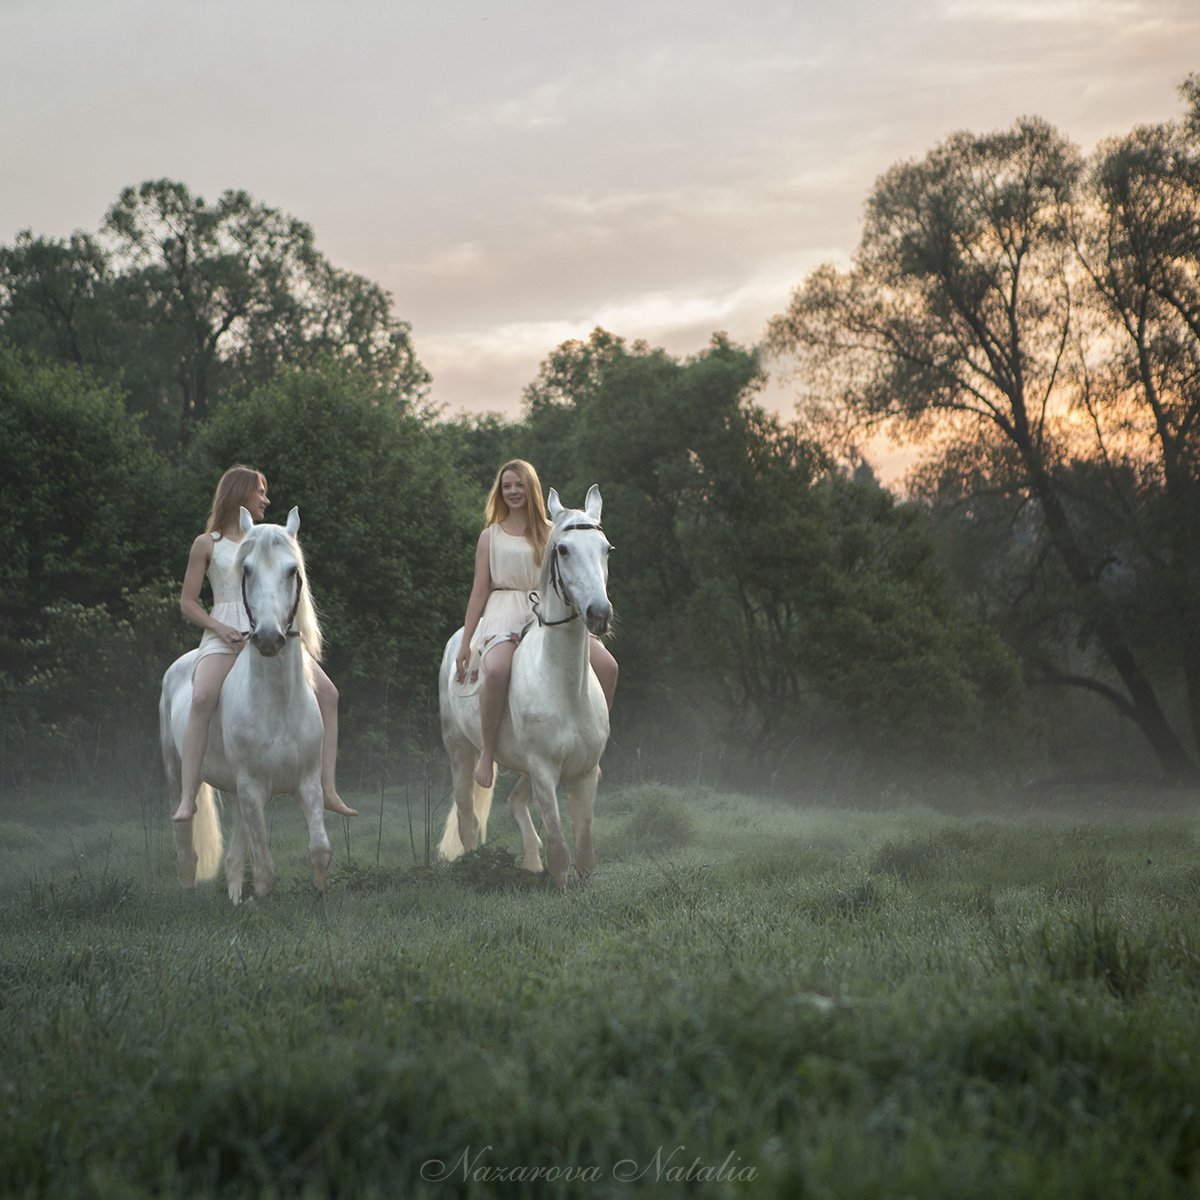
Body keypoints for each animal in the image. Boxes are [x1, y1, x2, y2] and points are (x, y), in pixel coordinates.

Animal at [158, 501, 333, 902]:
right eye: (247, 570)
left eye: (292, 571)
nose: (268, 639)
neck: (278, 705)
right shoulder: (253, 790)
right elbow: (266, 871)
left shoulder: (307, 783)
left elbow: (319, 849)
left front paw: (320, 897)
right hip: (177, 773)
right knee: (185, 845)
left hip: (238, 793)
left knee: (234, 856)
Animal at [436, 487, 614, 892]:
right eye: (562, 549)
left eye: (606, 548)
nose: (599, 614)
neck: (565, 688)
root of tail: (458, 641)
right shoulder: (545, 771)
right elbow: (561, 847)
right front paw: (560, 886)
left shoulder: (583, 774)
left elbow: (586, 846)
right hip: (460, 750)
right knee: (468, 818)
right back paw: (476, 867)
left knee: (515, 801)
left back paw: (530, 861)